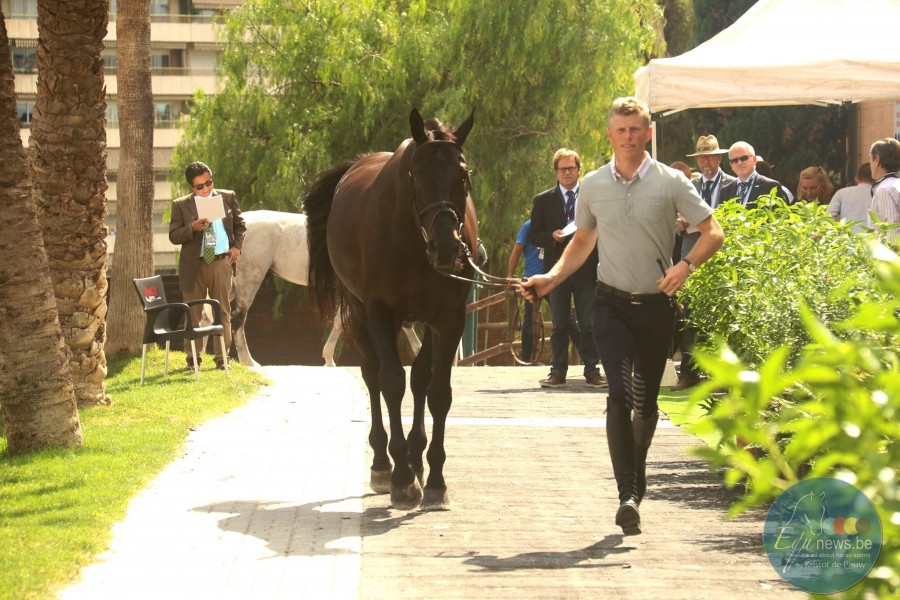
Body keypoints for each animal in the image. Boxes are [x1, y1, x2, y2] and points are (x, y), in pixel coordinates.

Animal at [306, 109, 478, 510]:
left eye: (463, 176)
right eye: (417, 174)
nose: (447, 247)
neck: (414, 242)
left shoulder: (449, 318)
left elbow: (436, 391)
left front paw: (434, 479)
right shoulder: (380, 313)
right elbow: (391, 383)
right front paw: (401, 478)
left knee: (419, 378)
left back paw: (416, 459)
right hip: (358, 312)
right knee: (372, 376)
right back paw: (385, 464)